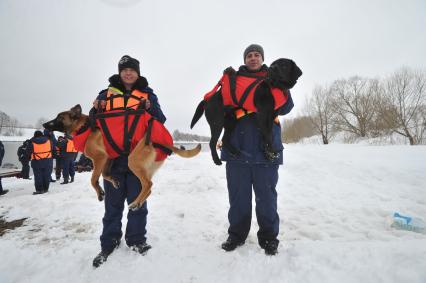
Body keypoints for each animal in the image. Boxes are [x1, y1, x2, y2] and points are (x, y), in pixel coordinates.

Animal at [44, 105, 202, 211]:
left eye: (59, 117)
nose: (44, 124)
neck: (84, 127)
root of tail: (166, 142)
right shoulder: (108, 158)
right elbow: (105, 174)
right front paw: (113, 182)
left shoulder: (100, 158)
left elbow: (93, 179)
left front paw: (100, 193)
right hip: (145, 166)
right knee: (149, 188)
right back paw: (138, 203)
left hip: (133, 161)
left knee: (148, 184)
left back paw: (135, 202)